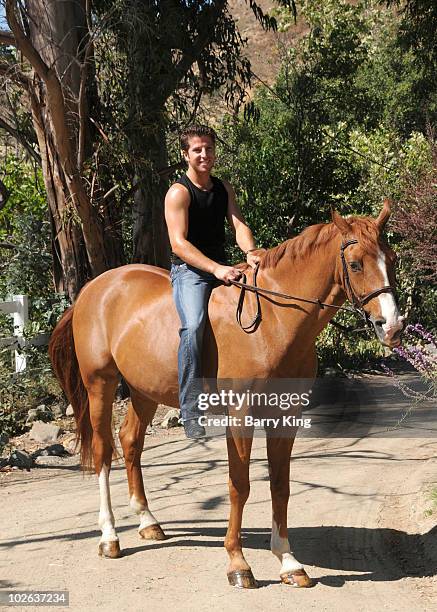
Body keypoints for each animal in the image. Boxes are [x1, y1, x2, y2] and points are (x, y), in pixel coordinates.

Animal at [47, 204, 402, 588]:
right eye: (355, 264)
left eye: (392, 259)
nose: (392, 327)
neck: (272, 320)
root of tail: (92, 289)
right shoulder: (240, 415)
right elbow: (239, 485)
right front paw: (238, 563)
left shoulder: (285, 415)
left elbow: (280, 485)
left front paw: (289, 562)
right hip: (100, 384)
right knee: (103, 452)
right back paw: (109, 537)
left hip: (144, 391)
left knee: (130, 442)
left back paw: (147, 521)